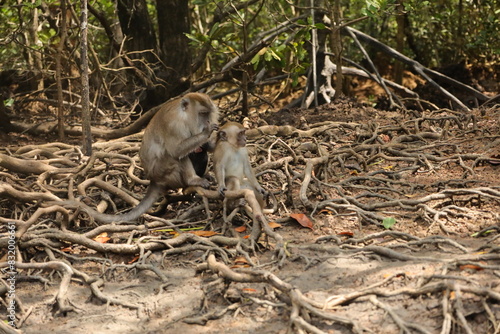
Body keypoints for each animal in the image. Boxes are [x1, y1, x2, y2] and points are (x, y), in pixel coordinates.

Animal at [92, 92, 219, 222]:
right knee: (174, 157)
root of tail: (154, 180)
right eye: (202, 113)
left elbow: (205, 147)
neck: (184, 117)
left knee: (200, 153)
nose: (207, 121)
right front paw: (206, 132)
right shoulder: (173, 125)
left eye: (208, 113)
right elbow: (176, 151)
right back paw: (192, 180)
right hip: (163, 172)